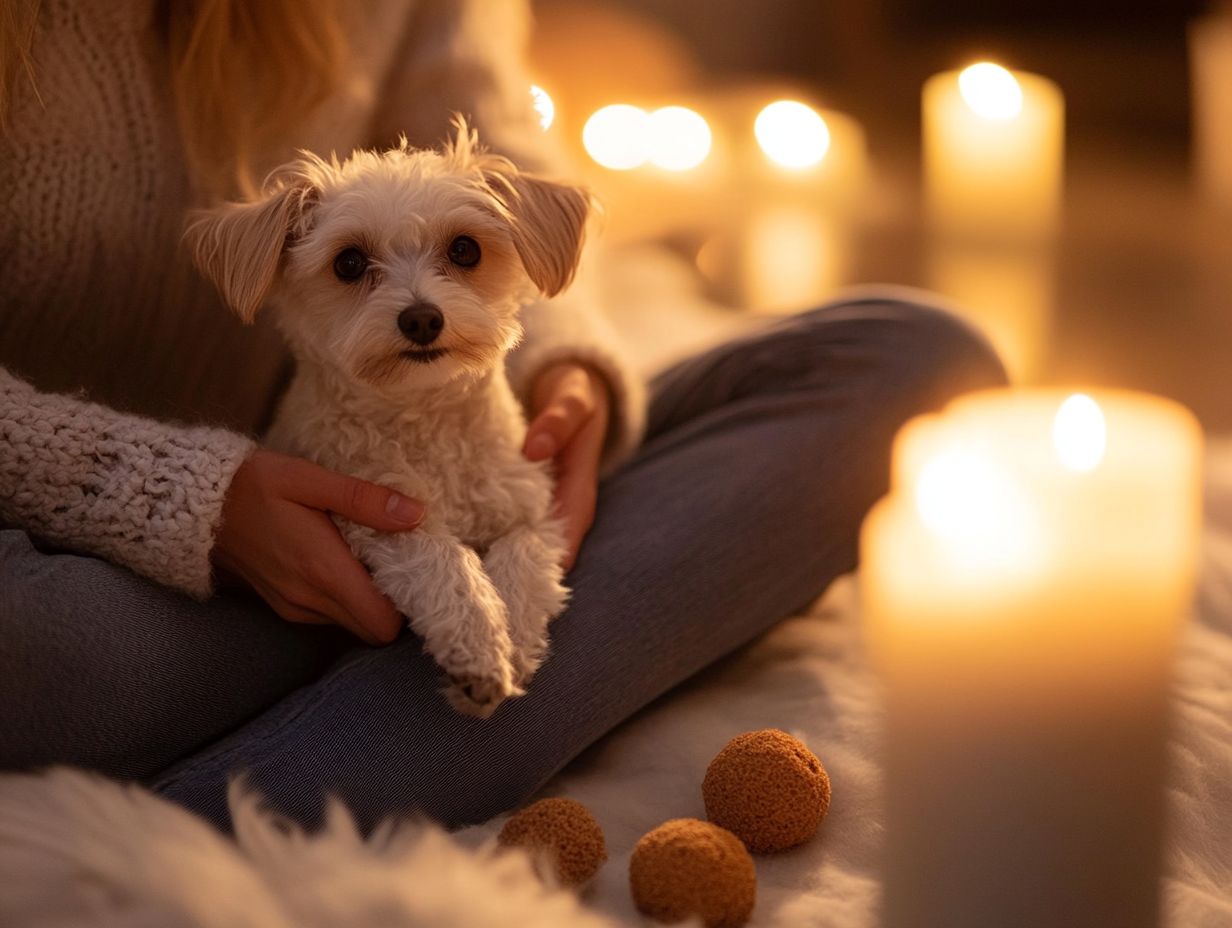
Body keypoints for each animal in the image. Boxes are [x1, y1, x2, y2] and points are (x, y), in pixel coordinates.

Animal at [186, 121, 586, 714]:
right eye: (349, 262)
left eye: (465, 249)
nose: (421, 318)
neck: (426, 420)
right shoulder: (372, 515)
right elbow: (436, 556)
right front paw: (478, 643)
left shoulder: (532, 508)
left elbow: (522, 555)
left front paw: (511, 634)